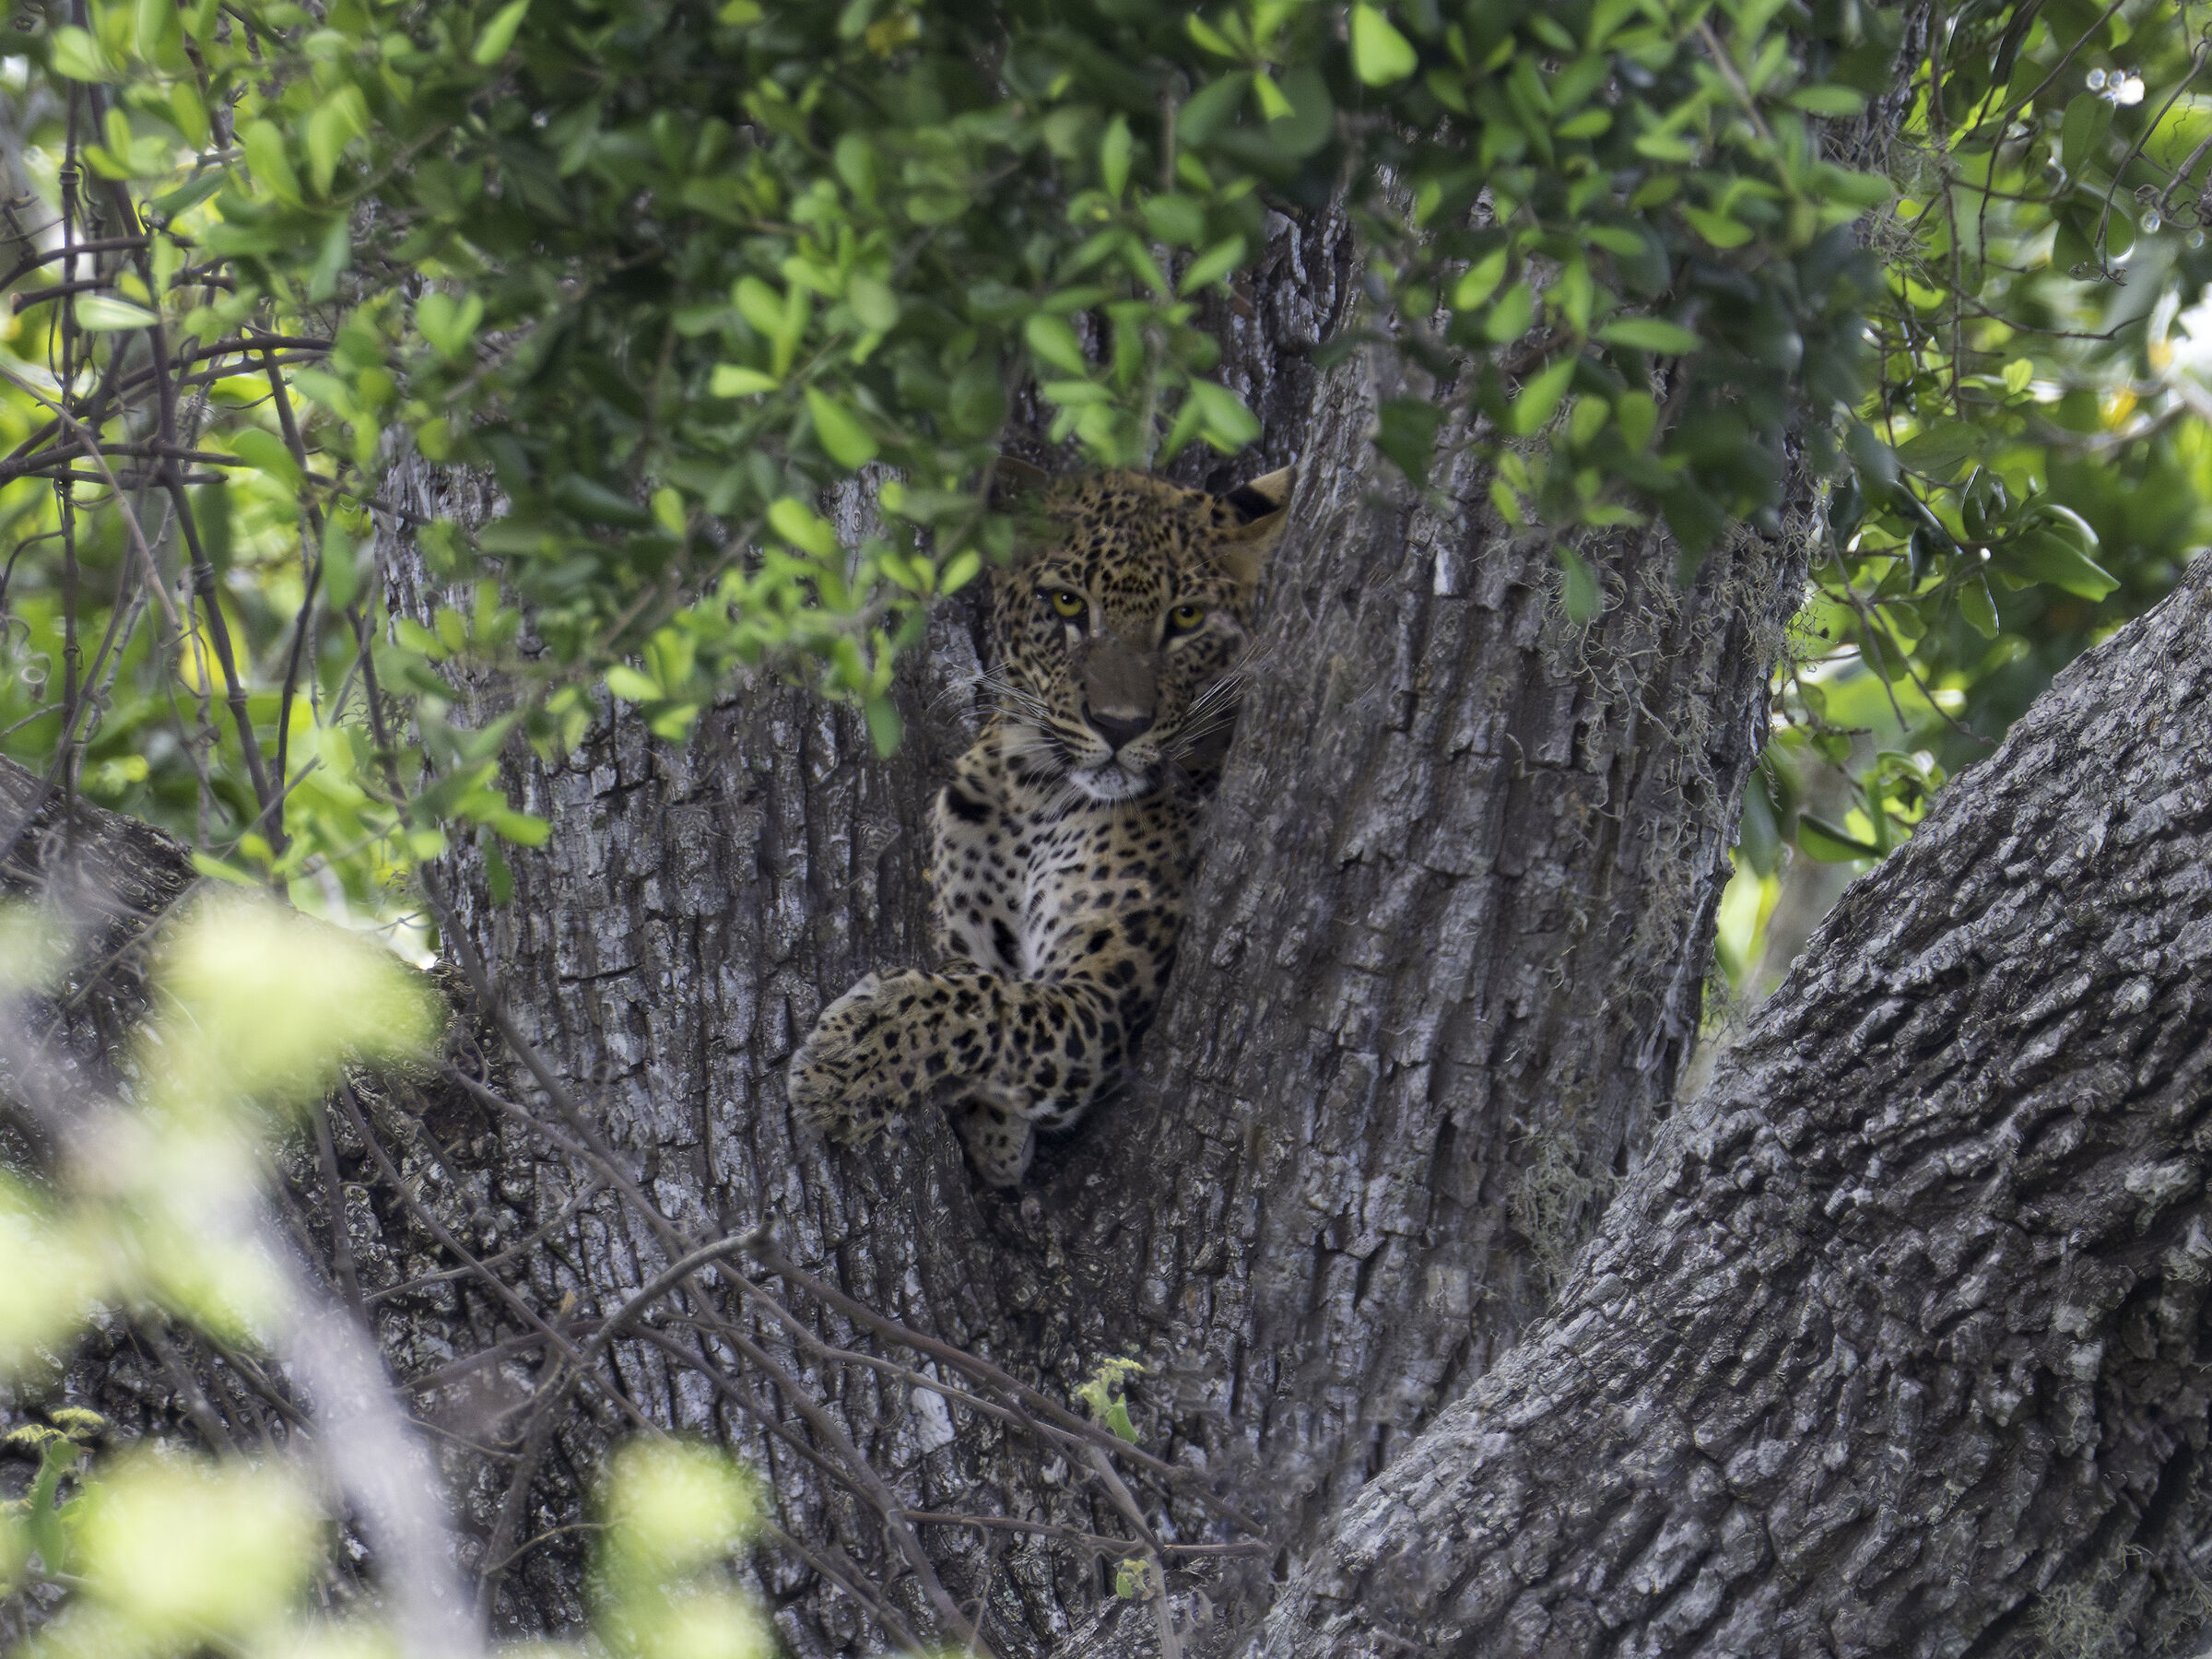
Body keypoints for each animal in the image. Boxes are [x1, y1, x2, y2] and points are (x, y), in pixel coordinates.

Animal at [786, 464, 1294, 1185]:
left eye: (1186, 617)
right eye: (1066, 604)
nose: (1119, 726)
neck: (1040, 793)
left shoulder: (1102, 1003)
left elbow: (989, 1005)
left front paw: (851, 1060)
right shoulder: (967, 924)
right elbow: (971, 978)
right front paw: (989, 1130)